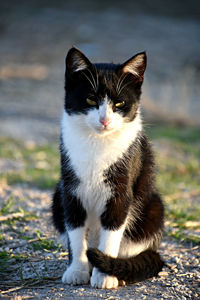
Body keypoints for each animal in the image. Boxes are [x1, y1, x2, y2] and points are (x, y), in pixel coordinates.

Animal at [52, 48, 164, 290]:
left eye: (119, 103)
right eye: (91, 99)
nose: (104, 120)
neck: (97, 143)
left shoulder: (120, 192)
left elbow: (112, 233)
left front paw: (105, 276)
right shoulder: (71, 189)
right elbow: (75, 232)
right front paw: (76, 270)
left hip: (153, 208)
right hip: (57, 196)